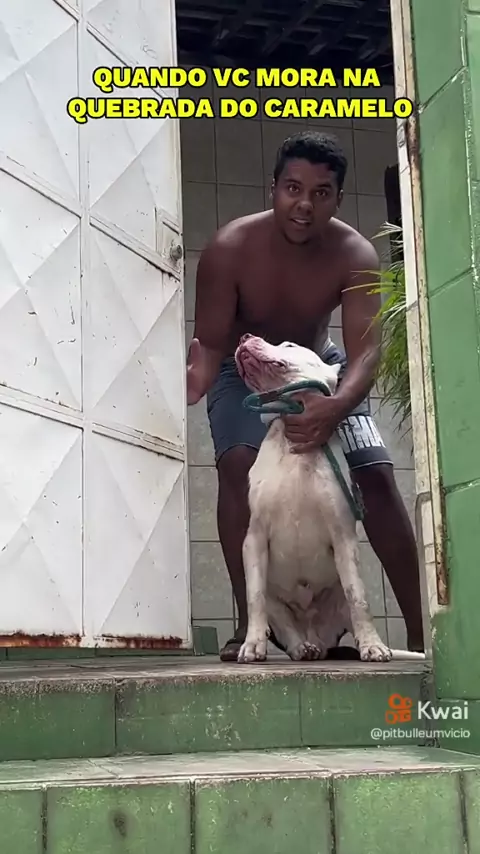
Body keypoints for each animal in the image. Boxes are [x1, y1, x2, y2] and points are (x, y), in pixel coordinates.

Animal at [234, 334, 424, 664]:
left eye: (289, 345)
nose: (245, 336)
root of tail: (319, 640)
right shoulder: (254, 537)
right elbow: (254, 596)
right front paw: (253, 644)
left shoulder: (343, 536)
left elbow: (358, 597)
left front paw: (373, 647)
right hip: (278, 606)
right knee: (284, 625)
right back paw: (300, 648)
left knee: (352, 605)